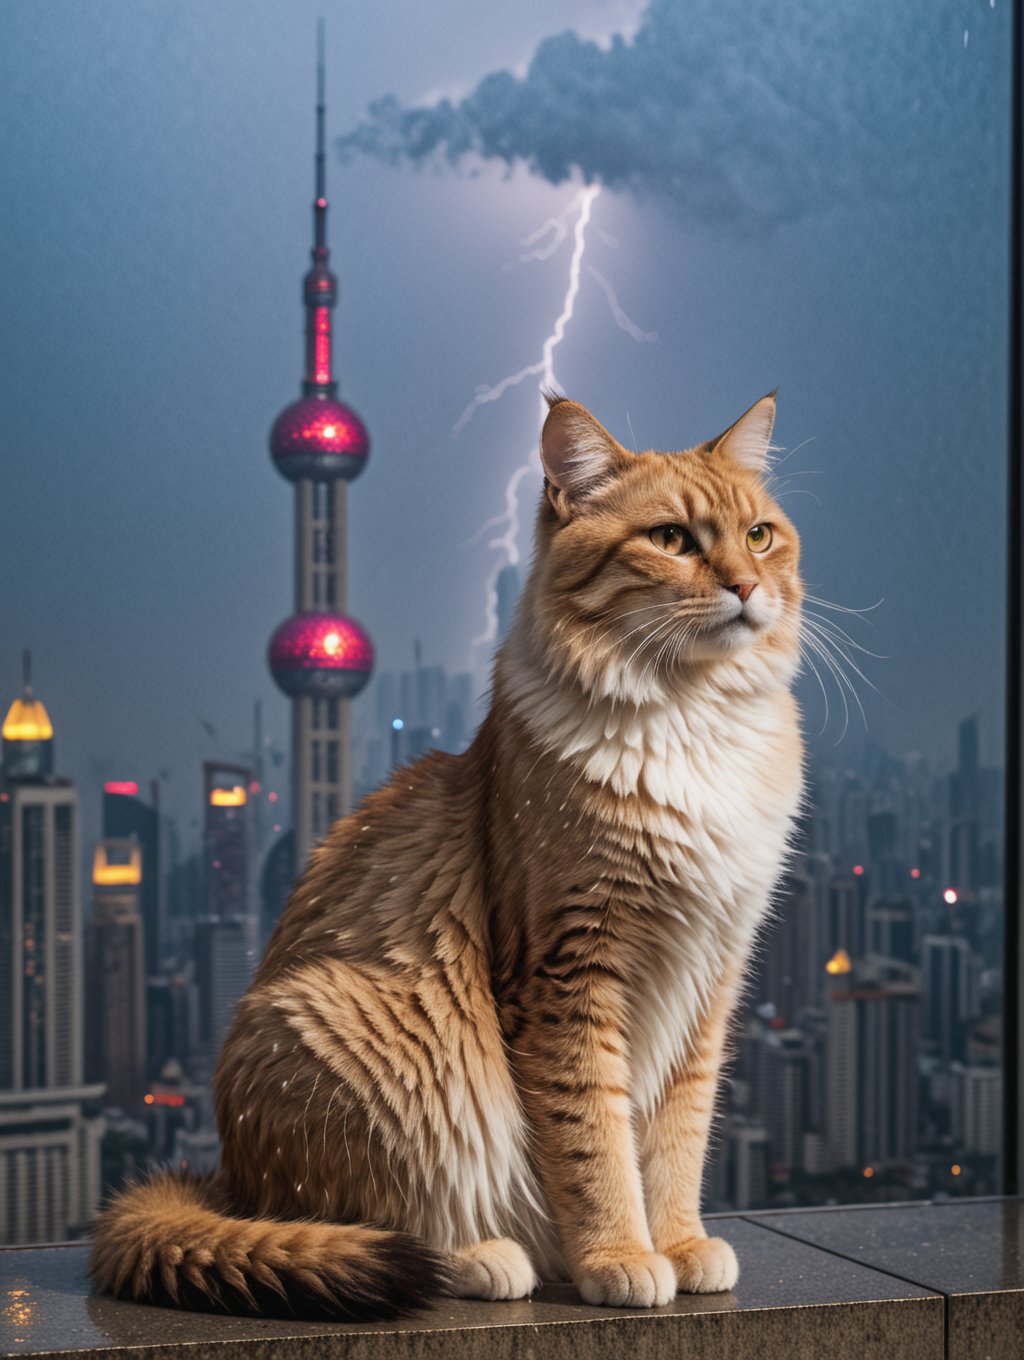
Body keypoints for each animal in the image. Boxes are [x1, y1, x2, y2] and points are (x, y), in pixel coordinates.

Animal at [87, 391, 805, 1316]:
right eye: (672, 539)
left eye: (759, 535)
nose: (746, 586)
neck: (694, 719)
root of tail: (228, 1182)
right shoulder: (568, 971)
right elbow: (594, 1144)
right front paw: (616, 1253)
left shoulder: (713, 973)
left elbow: (678, 1137)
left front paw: (677, 1242)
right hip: (360, 1026)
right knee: (373, 1224)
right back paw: (489, 1257)